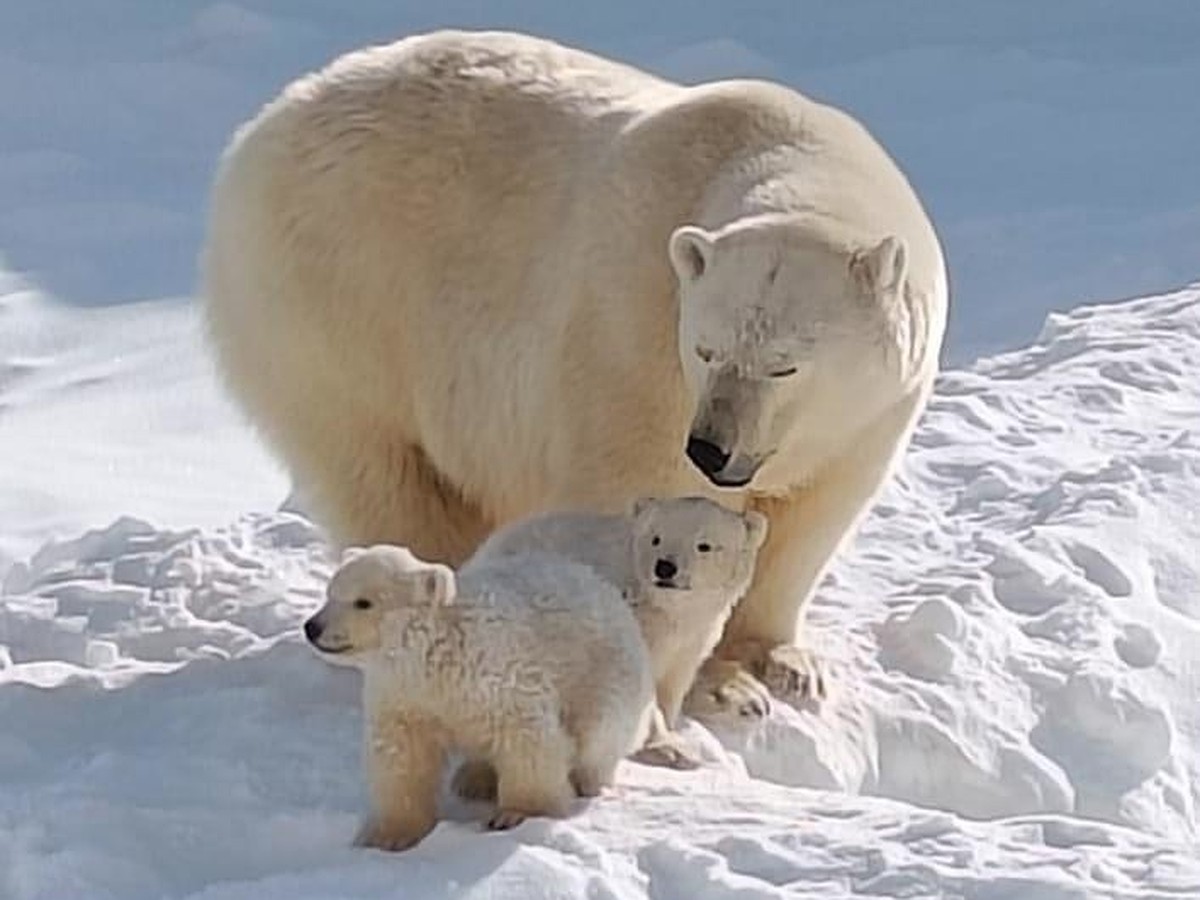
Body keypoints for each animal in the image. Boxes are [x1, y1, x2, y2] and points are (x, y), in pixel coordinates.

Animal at [208, 30, 955, 724]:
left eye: (785, 362)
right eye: (706, 349)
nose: (712, 450)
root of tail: (264, 126)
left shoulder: (873, 415)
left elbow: (815, 517)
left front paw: (783, 665)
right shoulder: (638, 340)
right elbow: (641, 493)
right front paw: (716, 681)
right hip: (341, 309)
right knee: (386, 476)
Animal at [304, 542, 652, 854]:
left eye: (363, 602)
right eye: (330, 592)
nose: (312, 627)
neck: (436, 655)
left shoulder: (495, 674)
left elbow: (528, 739)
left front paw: (517, 815)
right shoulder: (403, 693)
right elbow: (402, 756)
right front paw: (388, 835)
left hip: (605, 677)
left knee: (596, 736)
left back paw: (586, 781)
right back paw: (473, 778)